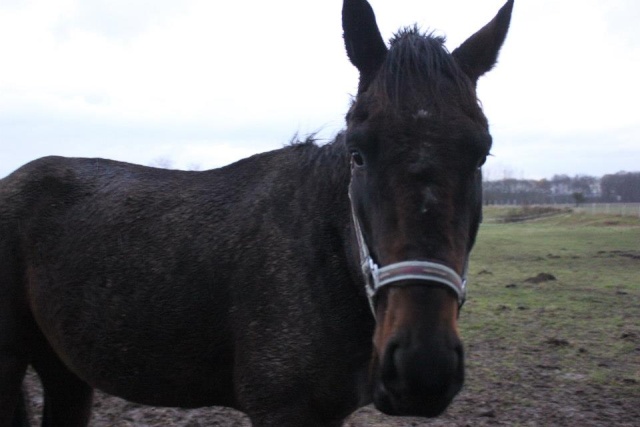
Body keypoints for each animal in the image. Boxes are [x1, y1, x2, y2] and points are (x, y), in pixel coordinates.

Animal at [0, 1, 512, 426]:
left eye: (481, 154)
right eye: (359, 153)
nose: (422, 369)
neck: (323, 255)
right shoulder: (280, 409)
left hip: (65, 369)